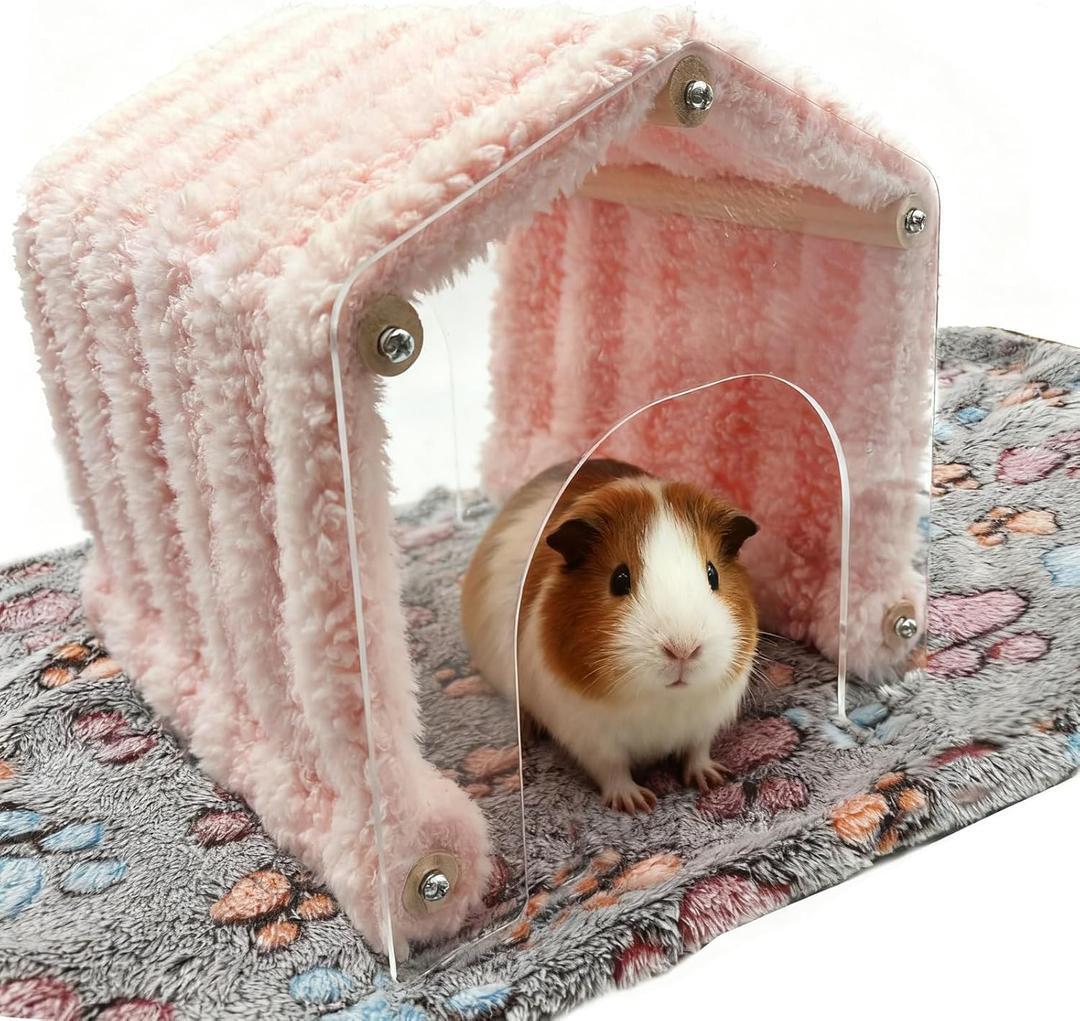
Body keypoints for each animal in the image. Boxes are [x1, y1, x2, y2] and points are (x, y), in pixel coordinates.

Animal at [461, 459, 758, 814]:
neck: (661, 701)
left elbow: (697, 751)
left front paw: (712, 779)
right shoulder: (592, 739)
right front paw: (637, 803)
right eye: (619, 579)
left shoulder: (704, 723)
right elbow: (613, 770)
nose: (683, 650)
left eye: (712, 574)